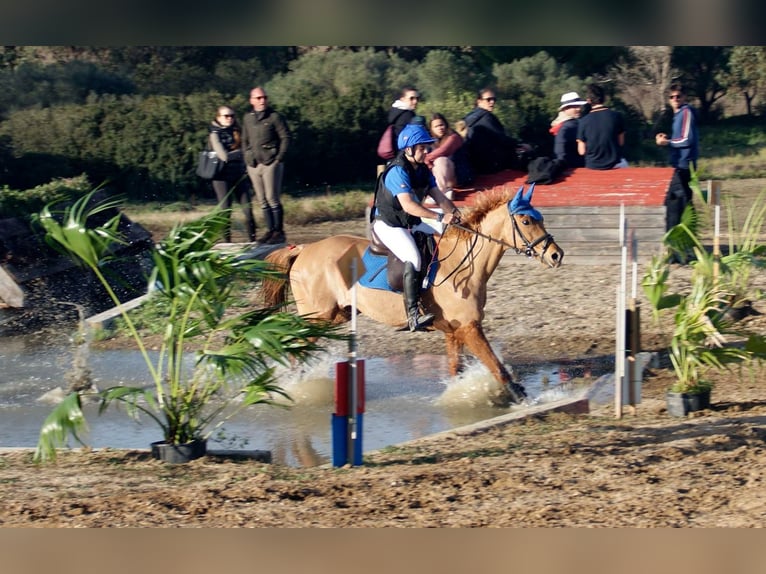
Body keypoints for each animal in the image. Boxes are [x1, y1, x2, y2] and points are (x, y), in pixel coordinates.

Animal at [264, 186, 564, 410]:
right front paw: (526, 399)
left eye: (540, 218)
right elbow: (498, 368)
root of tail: (303, 249)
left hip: (336, 315)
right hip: (319, 317)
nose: (556, 255)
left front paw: (458, 396)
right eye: (526, 221)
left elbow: (456, 370)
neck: (465, 263)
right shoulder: (470, 329)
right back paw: (296, 386)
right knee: (295, 345)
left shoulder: (454, 332)